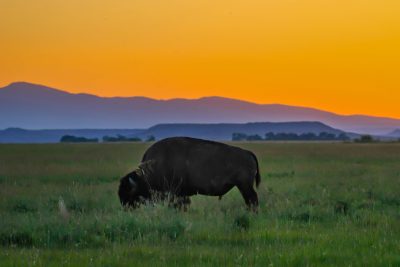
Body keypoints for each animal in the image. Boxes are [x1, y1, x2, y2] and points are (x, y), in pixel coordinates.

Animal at [117, 138, 260, 211]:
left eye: (128, 192)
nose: (125, 208)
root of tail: (248, 153)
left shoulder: (176, 193)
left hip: (244, 185)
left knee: (252, 199)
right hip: (243, 186)